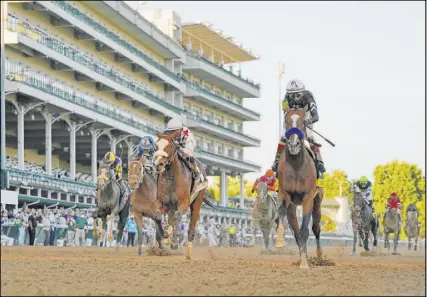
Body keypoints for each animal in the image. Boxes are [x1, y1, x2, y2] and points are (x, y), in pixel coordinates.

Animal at [278, 106, 324, 268]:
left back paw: (320, 256)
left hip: (317, 202)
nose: (293, 145)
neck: (297, 165)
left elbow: (305, 230)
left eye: (303, 121)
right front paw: (280, 241)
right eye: (286, 120)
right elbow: (284, 217)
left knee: (316, 228)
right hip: (292, 206)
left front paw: (305, 263)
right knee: (295, 230)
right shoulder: (284, 194)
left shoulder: (308, 197)